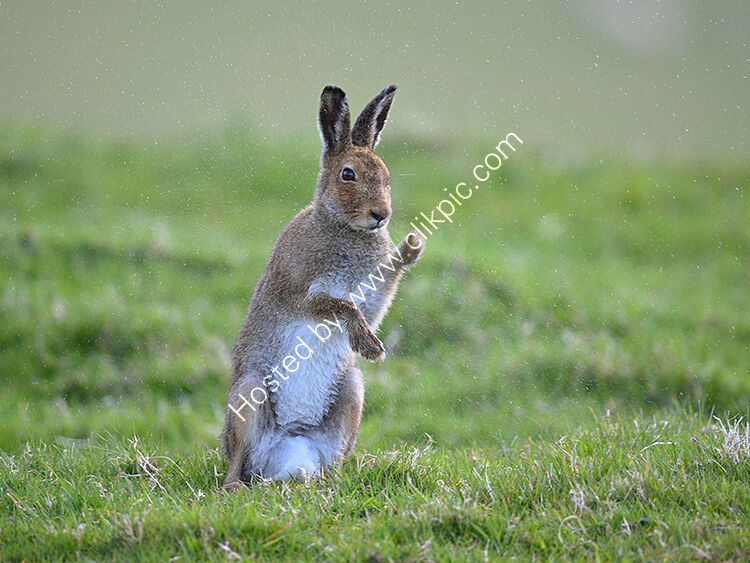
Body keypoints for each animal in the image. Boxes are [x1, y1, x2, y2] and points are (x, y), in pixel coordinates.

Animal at [220, 84, 425, 490]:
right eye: (348, 174)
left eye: (387, 177)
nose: (381, 216)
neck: (343, 226)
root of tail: (289, 457)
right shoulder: (300, 293)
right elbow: (341, 305)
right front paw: (368, 345)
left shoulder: (372, 297)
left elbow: (371, 303)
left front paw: (411, 247)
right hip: (248, 394)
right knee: (238, 459)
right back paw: (235, 486)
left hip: (352, 393)